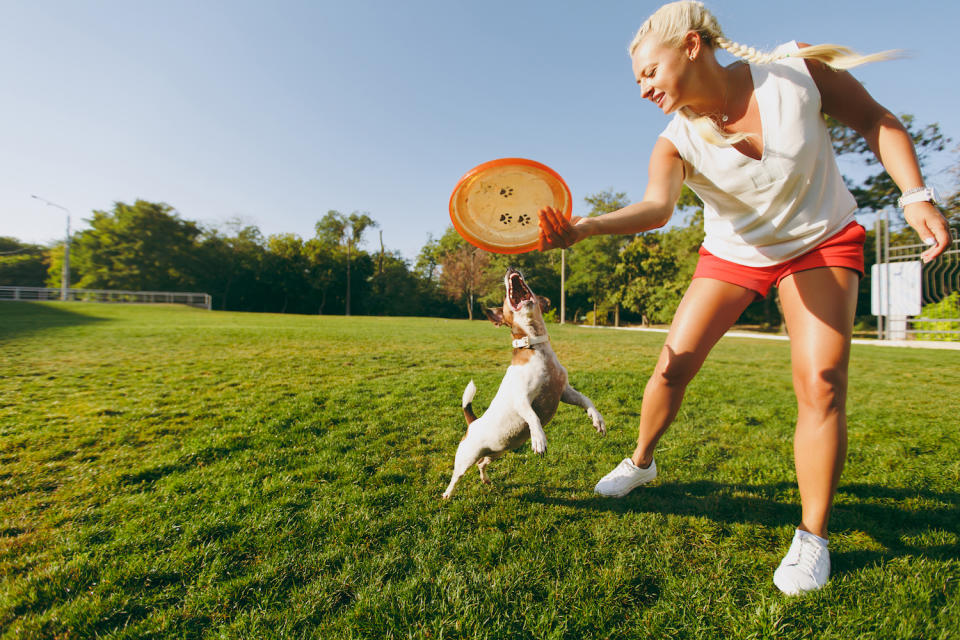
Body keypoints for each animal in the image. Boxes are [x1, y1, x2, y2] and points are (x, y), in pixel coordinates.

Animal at [444, 268, 608, 498]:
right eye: (505, 299)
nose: (510, 268)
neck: (535, 346)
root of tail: (473, 422)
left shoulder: (565, 392)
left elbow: (587, 400)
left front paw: (597, 419)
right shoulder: (522, 399)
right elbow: (533, 417)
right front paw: (539, 439)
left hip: (497, 451)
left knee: (482, 463)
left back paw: (486, 479)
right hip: (466, 458)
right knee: (456, 476)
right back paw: (447, 494)